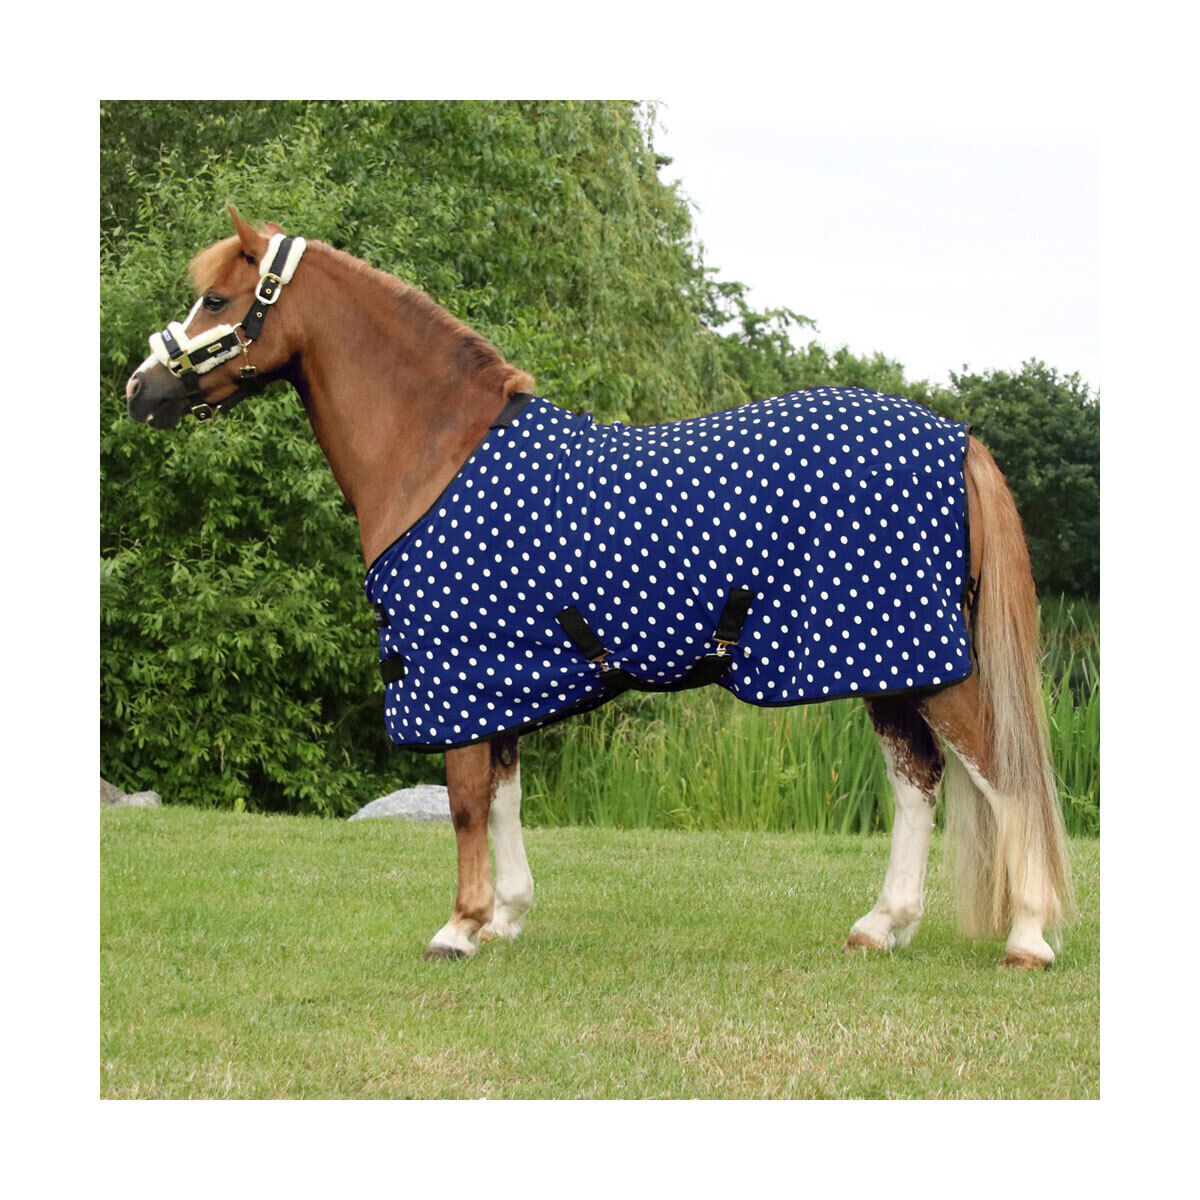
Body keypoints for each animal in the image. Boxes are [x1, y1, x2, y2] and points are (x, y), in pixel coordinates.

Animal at [124, 207, 1073, 968]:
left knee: (1006, 779)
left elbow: (465, 802)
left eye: (218, 302)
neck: (435, 453)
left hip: (923, 663)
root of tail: (955, 436)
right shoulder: (499, 681)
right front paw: (505, 917)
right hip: (882, 662)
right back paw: (883, 926)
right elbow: (502, 796)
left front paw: (458, 929)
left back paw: (1028, 937)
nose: (142, 390)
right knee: (918, 781)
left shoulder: (457, 675)